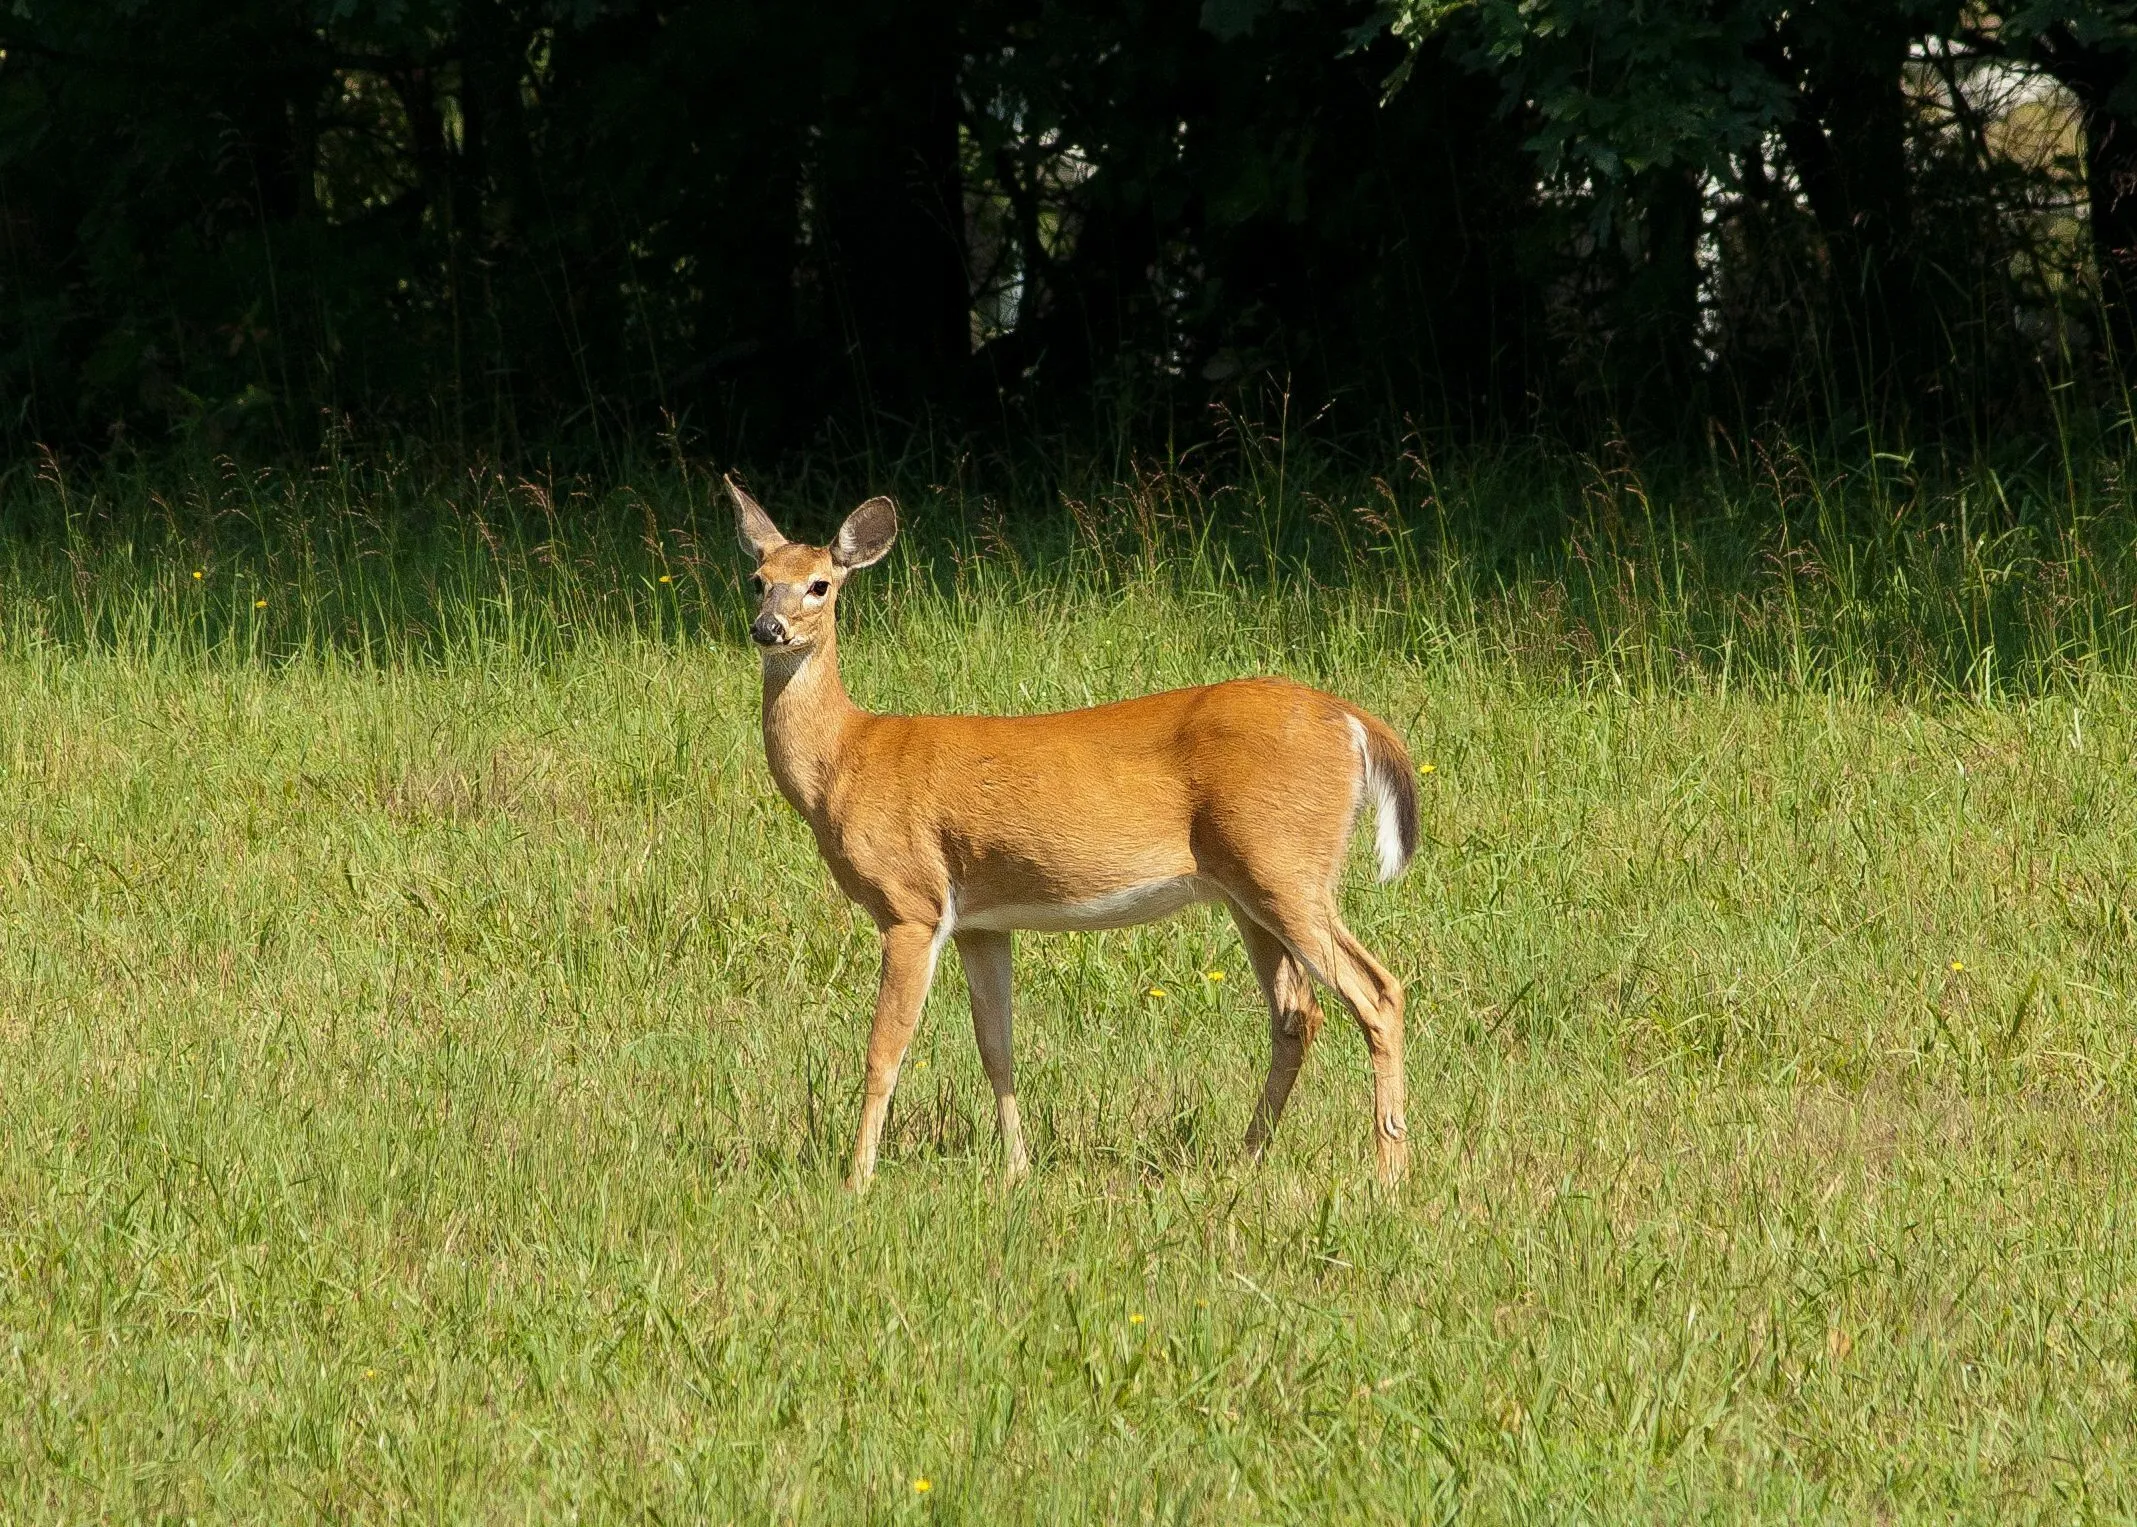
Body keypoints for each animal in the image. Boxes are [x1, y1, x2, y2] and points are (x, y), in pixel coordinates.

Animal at [728, 476, 1419, 1191]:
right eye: (757, 579)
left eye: (819, 584)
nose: (768, 628)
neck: (846, 760)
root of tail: (1354, 721)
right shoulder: (981, 920)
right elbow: (996, 1047)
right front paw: (1017, 1170)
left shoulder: (910, 903)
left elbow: (884, 1050)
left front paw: (856, 1180)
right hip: (1248, 888)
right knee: (1297, 1013)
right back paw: (1245, 1159)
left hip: (1285, 866)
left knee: (1378, 992)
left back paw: (1390, 1171)